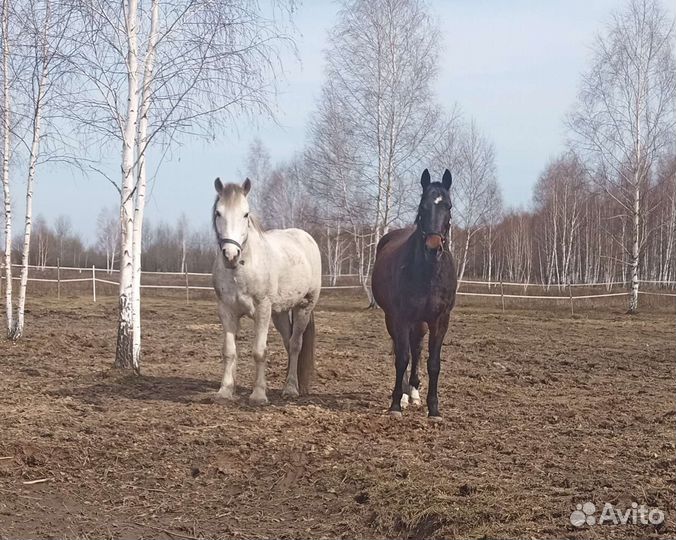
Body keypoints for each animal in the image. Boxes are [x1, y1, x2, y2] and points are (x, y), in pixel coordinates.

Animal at [211, 177, 322, 405]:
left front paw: (259, 395)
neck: (243, 269)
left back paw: (291, 388)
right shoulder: (226, 311)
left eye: (246, 214)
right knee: (288, 343)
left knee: (295, 344)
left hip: (304, 307)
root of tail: (306, 238)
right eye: (218, 212)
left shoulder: (262, 310)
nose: (231, 255)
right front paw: (225, 391)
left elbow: (259, 352)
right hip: (279, 313)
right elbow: (229, 351)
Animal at [371, 169, 457, 421]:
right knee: (406, 350)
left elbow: (433, 363)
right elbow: (402, 358)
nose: (433, 247)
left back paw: (414, 393)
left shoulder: (440, 320)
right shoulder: (401, 318)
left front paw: (434, 409)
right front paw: (396, 405)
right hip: (394, 319)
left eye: (448, 206)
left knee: (417, 348)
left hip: (421, 322)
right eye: (422, 206)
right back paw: (404, 396)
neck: (427, 273)